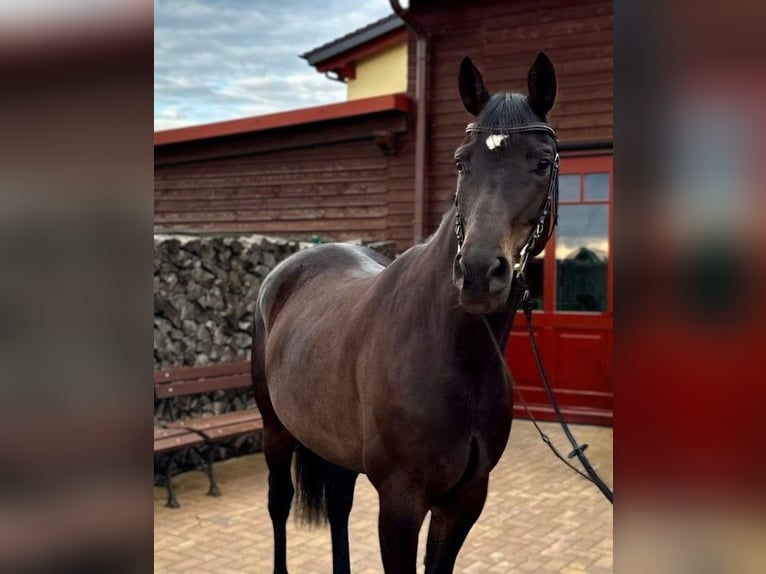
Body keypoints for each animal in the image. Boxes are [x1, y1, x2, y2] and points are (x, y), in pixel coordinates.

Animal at [251, 52, 559, 574]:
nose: (479, 273)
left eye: (541, 162)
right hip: (275, 429)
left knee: (338, 504)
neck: (453, 353)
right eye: (461, 162)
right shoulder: (400, 502)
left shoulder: (464, 500)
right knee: (277, 503)